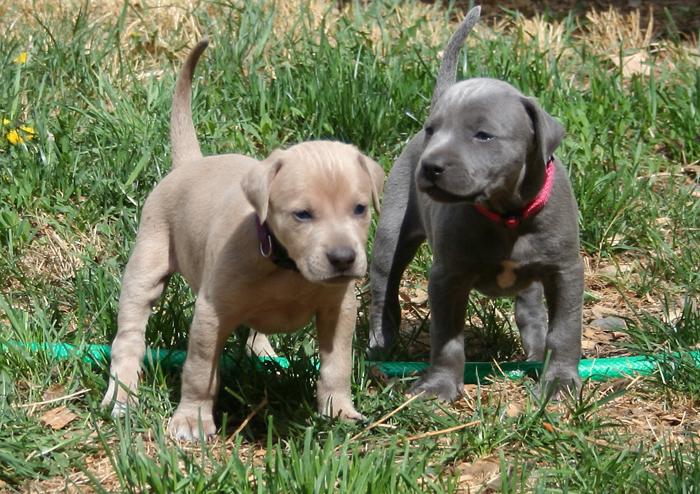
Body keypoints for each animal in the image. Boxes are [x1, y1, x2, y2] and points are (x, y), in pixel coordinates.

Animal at [102, 39, 382, 440]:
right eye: (302, 215)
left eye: (360, 209)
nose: (343, 259)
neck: (287, 266)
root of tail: (191, 163)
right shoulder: (211, 313)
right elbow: (200, 369)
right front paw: (192, 419)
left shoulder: (339, 309)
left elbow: (337, 364)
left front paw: (339, 411)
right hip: (147, 262)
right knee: (129, 336)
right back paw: (122, 395)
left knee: (255, 329)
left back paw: (266, 356)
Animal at [370, 6, 584, 402]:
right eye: (432, 131)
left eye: (483, 135)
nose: (430, 166)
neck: (506, 214)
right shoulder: (447, 276)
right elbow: (446, 338)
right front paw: (439, 385)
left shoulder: (566, 270)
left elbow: (564, 329)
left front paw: (560, 382)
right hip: (391, 235)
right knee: (383, 288)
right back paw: (379, 346)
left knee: (531, 310)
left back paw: (534, 354)